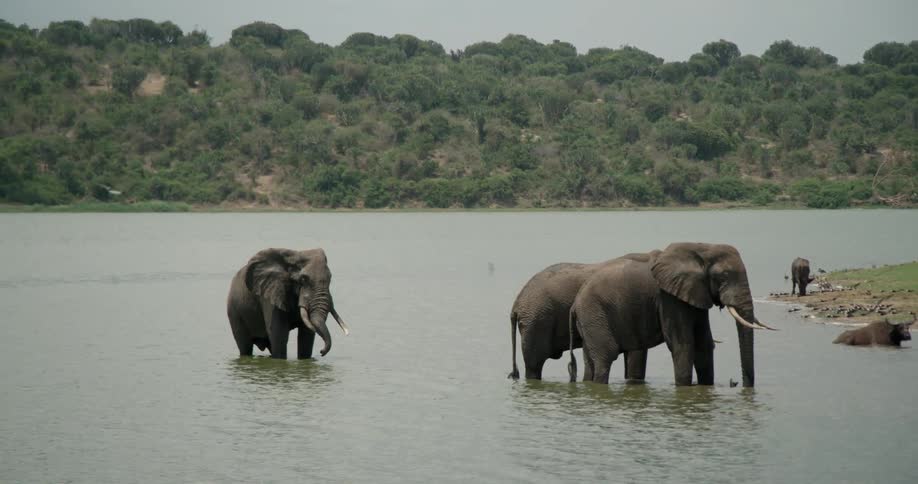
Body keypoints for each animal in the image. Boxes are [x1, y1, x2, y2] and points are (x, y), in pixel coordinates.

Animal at [568, 243, 776, 387]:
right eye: (724, 276)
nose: (741, 385)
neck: (701, 248)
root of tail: (575, 304)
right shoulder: (669, 298)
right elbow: (683, 343)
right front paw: (683, 388)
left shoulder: (694, 295)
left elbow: (704, 343)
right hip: (594, 313)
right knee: (605, 356)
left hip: (589, 319)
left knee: (591, 360)